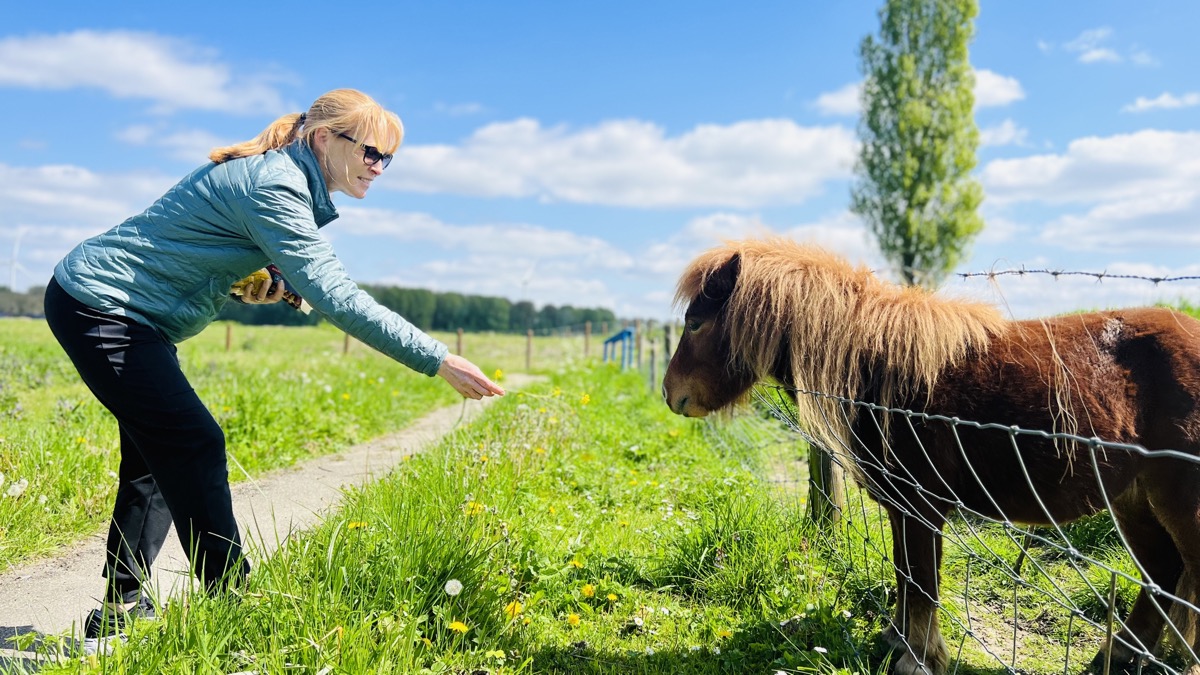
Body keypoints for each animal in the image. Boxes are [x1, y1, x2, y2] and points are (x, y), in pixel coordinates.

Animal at [662, 236, 1200, 672]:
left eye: (695, 323)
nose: (671, 395)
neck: (878, 372)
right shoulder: (902, 507)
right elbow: (906, 575)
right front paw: (896, 641)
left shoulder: (921, 507)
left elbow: (921, 579)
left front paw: (917, 659)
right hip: (1133, 500)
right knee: (1163, 572)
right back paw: (1119, 656)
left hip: (1176, 503)